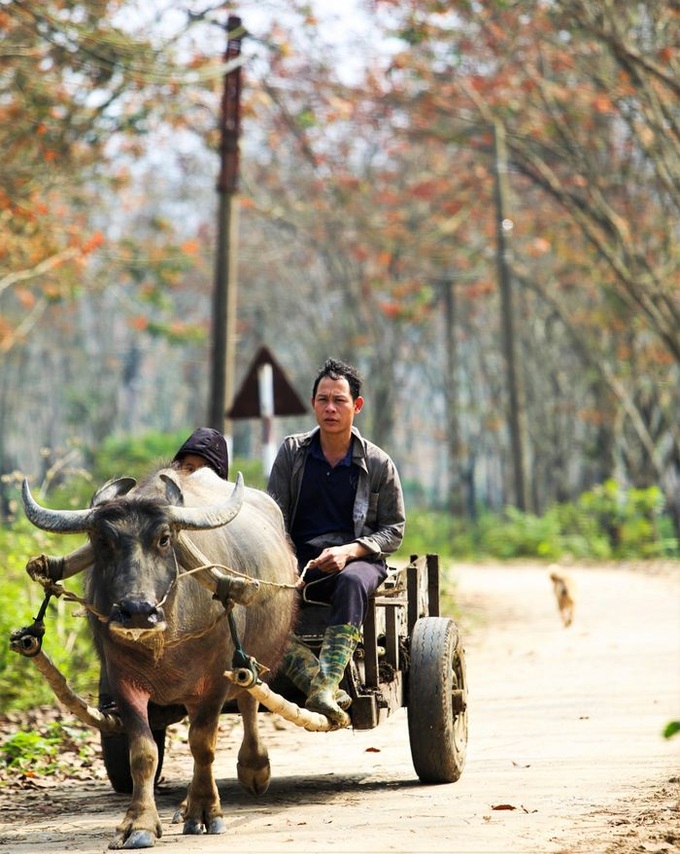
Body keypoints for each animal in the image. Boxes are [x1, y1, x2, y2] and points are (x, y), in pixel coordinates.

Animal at [23, 468, 298, 848]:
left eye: (165, 539)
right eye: (103, 541)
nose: (138, 611)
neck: (164, 641)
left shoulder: (216, 678)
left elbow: (203, 743)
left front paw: (206, 812)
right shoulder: (122, 681)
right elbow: (143, 752)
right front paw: (139, 824)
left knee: (248, 702)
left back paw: (253, 770)